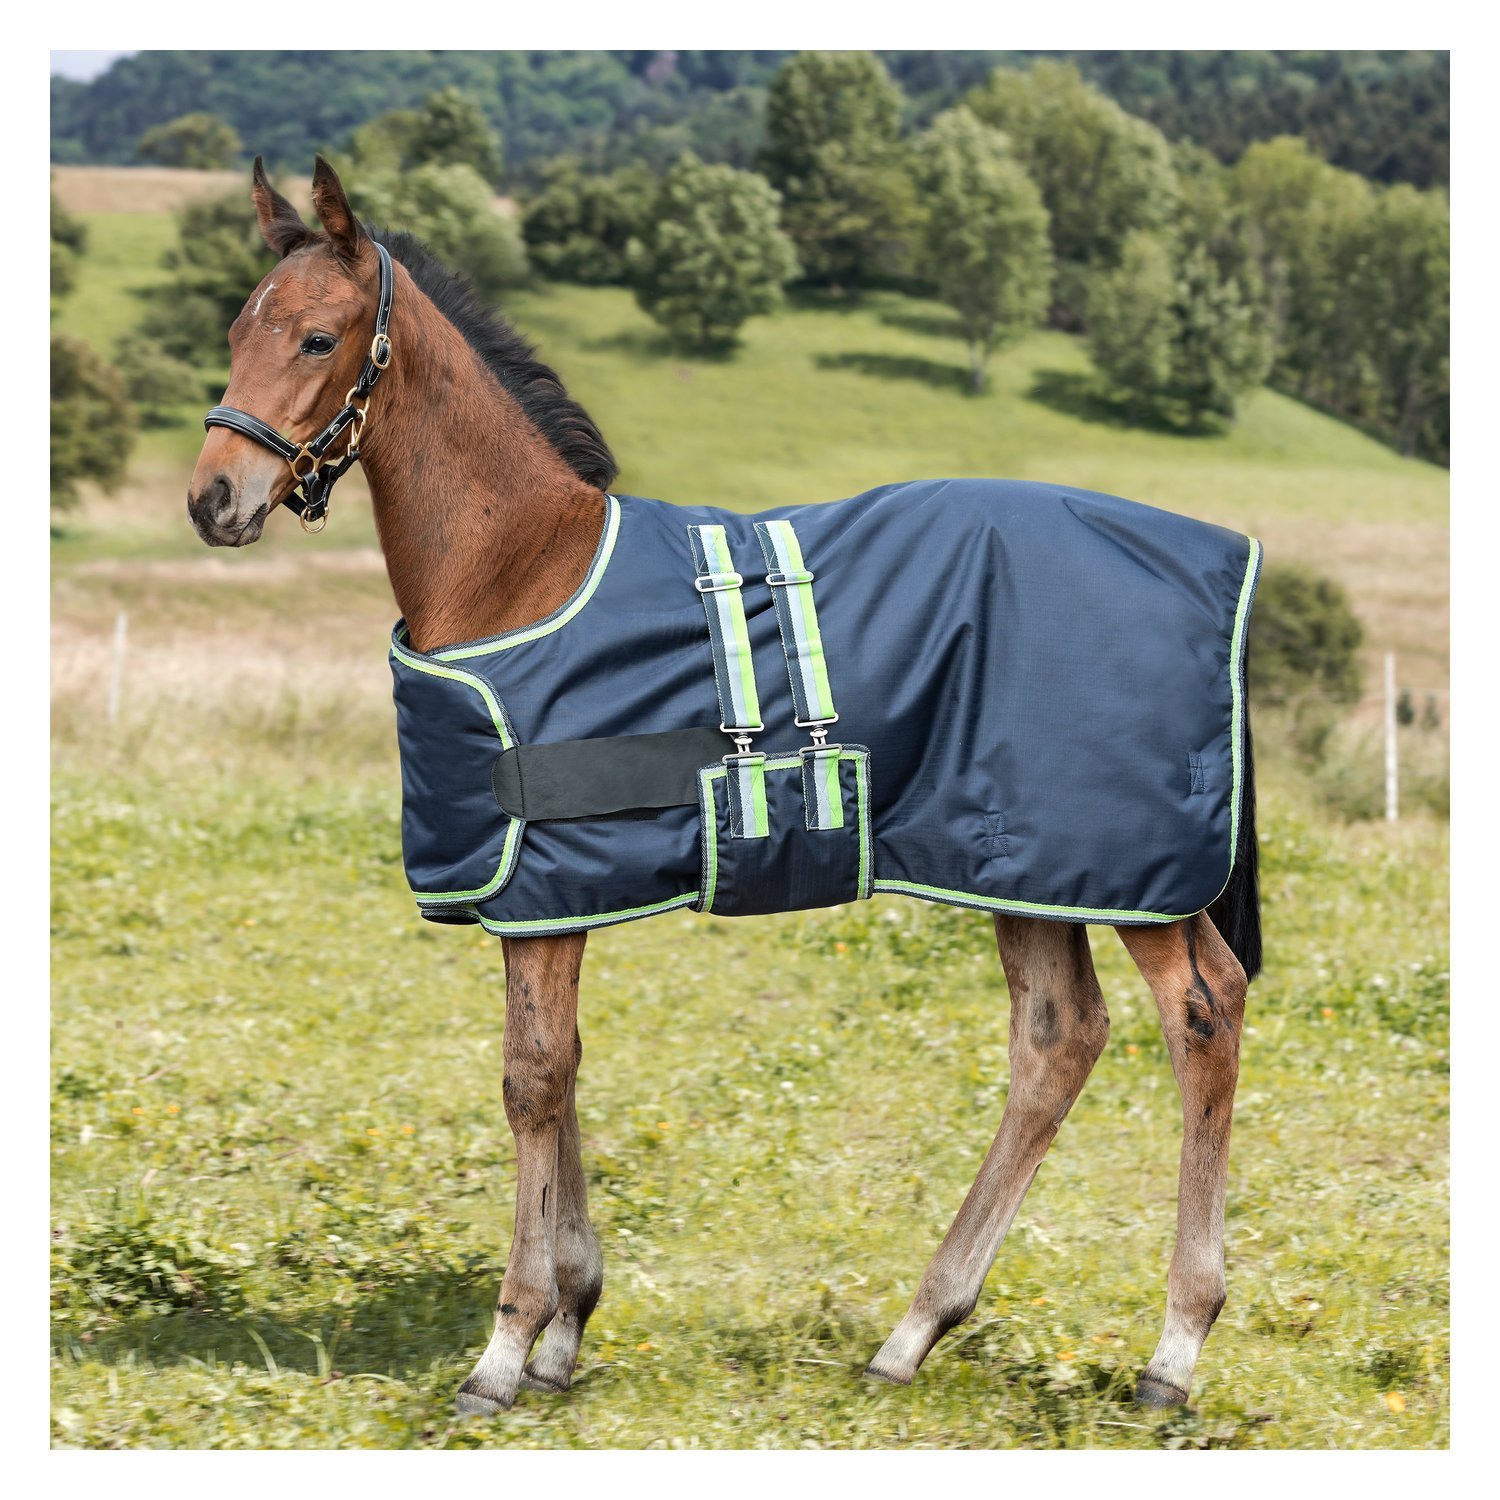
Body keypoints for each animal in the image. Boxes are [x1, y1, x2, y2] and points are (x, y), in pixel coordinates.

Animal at [187, 156, 1261, 1417]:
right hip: (1022, 864)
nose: (214, 499)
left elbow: (531, 1079)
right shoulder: (546, 897)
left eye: (316, 337)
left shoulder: (544, 886)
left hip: (1132, 872)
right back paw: (915, 1330)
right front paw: (566, 1327)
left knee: (1203, 1013)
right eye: (236, 329)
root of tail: (1219, 561)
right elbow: (563, 1071)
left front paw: (507, 1346)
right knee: (1057, 1040)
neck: (517, 568)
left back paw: (1175, 1347)